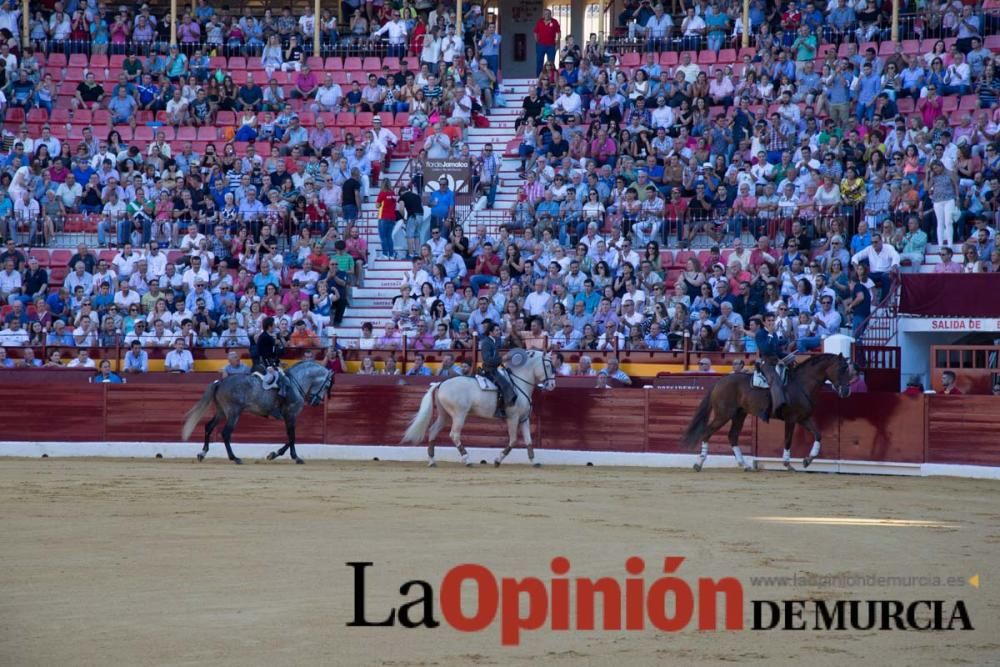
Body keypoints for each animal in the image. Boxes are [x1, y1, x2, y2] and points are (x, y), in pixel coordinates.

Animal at [182, 360, 334, 464]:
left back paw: (202, 454)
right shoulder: (291, 415)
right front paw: (296, 457)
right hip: (233, 412)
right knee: (225, 433)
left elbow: (290, 437)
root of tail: (220, 382)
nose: (316, 402)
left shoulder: (289, 416)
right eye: (327, 385)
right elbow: (292, 436)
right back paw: (235, 458)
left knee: (209, 426)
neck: (296, 382)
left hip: (221, 412)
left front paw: (273, 454)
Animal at [400, 352, 556, 468]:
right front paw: (497, 460)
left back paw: (432, 461)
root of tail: (441, 383)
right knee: (454, 434)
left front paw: (534, 461)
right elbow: (513, 441)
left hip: (444, 415)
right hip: (459, 414)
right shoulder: (513, 418)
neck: (519, 383)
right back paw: (467, 460)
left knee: (433, 430)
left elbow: (529, 440)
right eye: (548, 365)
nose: (552, 385)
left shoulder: (524, 419)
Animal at [680, 352, 852, 472]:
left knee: (732, 436)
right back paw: (698, 464)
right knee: (707, 432)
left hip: (739, 414)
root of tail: (720, 381)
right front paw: (788, 465)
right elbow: (788, 440)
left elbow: (818, 435)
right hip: (723, 414)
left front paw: (807, 460)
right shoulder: (791, 419)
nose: (846, 391)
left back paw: (745, 465)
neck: (801, 384)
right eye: (842, 368)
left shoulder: (803, 418)